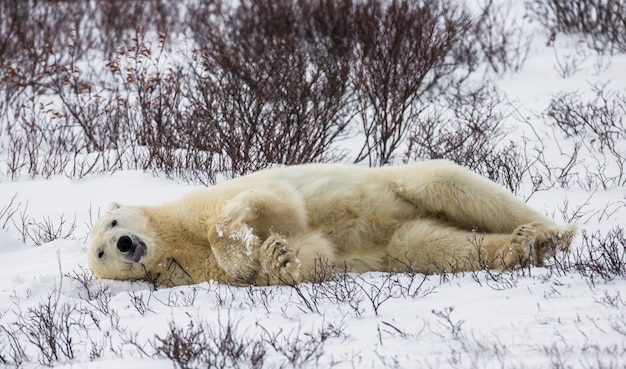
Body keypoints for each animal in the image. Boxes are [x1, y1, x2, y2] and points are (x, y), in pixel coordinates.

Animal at [85, 160, 572, 286]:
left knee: (446, 182)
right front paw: (275, 257)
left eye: (113, 221)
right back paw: (519, 248)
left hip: (403, 187)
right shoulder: (193, 272)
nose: (125, 243)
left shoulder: (208, 202)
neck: (175, 240)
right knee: (439, 249)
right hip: (403, 240)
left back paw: (552, 234)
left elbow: (271, 202)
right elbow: (313, 253)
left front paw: (243, 246)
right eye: (101, 253)